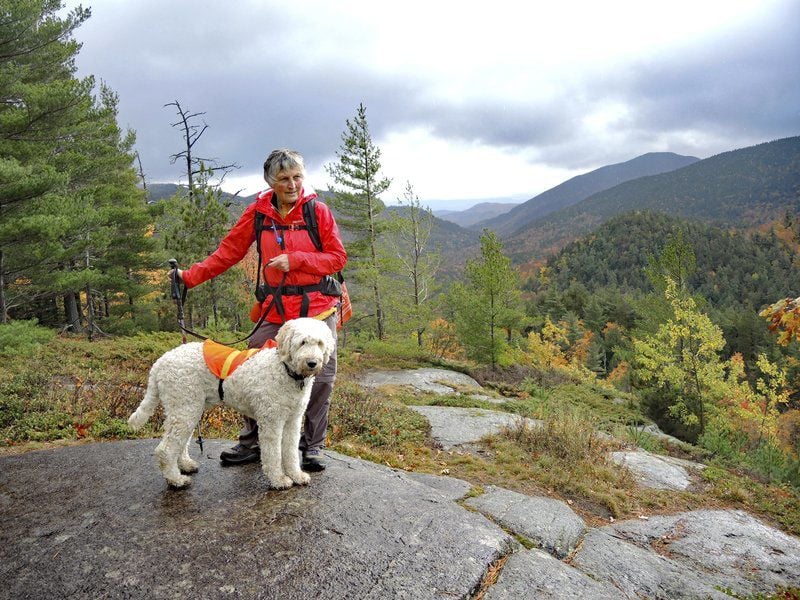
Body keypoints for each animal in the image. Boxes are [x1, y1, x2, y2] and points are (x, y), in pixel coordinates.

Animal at [130, 318, 334, 488]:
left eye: (319, 343)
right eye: (302, 342)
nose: (312, 363)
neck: (285, 370)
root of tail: (161, 361)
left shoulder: (293, 420)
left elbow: (290, 452)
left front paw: (296, 475)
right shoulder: (272, 422)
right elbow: (273, 454)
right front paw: (279, 480)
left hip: (188, 409)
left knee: (180, 442)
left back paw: (185, 465)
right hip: (184, 409)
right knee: (165, 449)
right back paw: (176, 480)